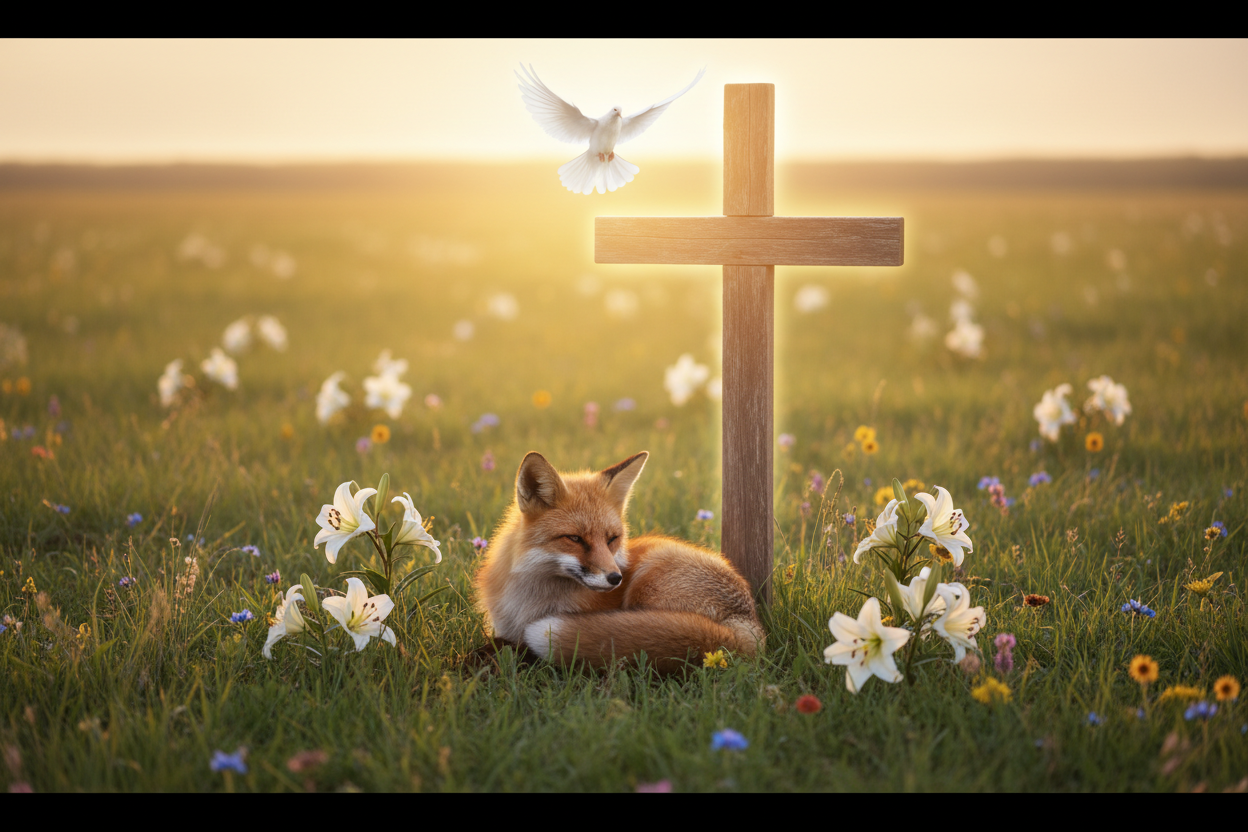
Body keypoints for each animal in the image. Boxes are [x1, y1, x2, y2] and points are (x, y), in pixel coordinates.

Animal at [474, 450, 764, 675]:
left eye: (612, 539)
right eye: (575, 538)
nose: (616, 578)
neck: (529, 601)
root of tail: (749, 626)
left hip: (650, 580)